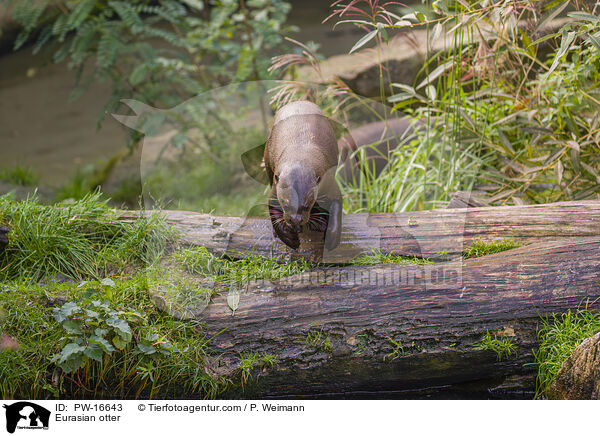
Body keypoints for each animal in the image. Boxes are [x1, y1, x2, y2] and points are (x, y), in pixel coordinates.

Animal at [264, 99, 342, 249]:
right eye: (285, 204)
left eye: (306, 205)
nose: (295, 220)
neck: (300, 149)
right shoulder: (275, 187)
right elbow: (273, 208)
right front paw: (289, 238)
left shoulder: (330, 182)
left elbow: (337, 206)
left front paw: (331, 238)